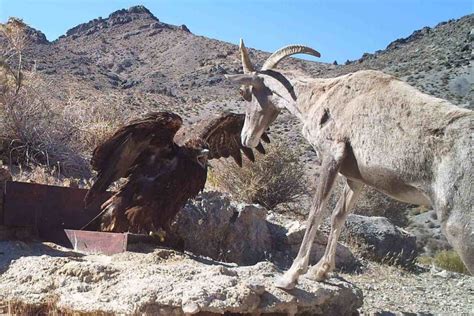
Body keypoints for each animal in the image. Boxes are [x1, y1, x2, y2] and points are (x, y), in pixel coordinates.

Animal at [226, 39, 474, 288]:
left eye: (245, 92)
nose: (247, 138)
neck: (322, 97)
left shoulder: (331, 157)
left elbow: (316, 212)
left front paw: (290, 275)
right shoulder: (355, 179)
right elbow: (338, 215)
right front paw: (320, 271)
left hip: (460, 231)